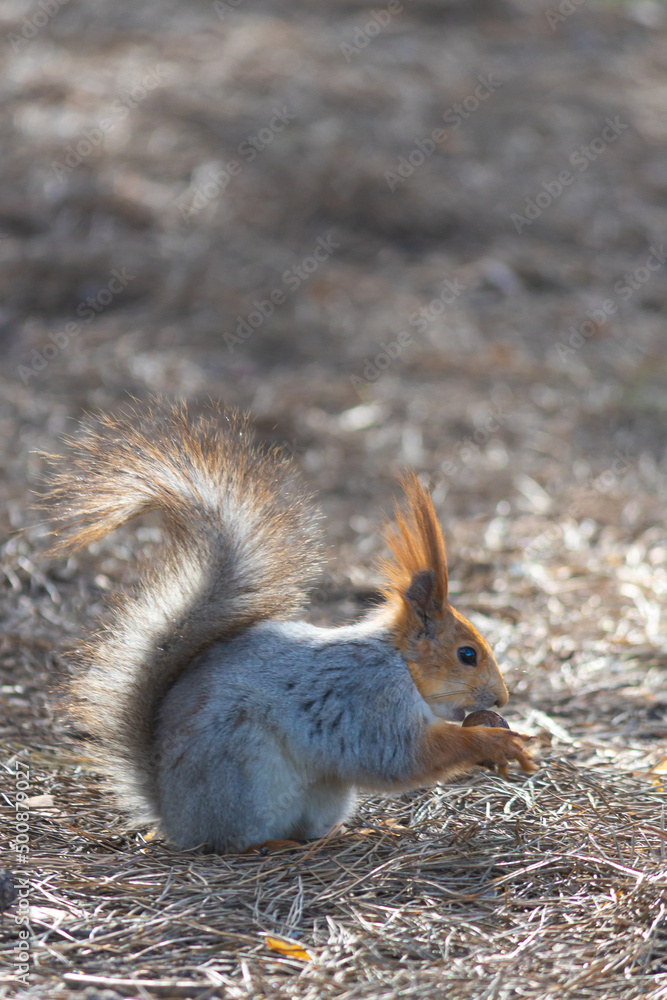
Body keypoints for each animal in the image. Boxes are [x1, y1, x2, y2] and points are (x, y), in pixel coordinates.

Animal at [43, 399, 537, 853]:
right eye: (467, 654)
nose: (501, 699)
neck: (399, 663)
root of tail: (173, 815)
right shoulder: (367, 700)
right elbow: (400, 757)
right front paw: (493, 742)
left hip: (325, 791)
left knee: (312, 828)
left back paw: (354, 832)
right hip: (246, 774)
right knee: (233, 841)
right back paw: (270, 846)